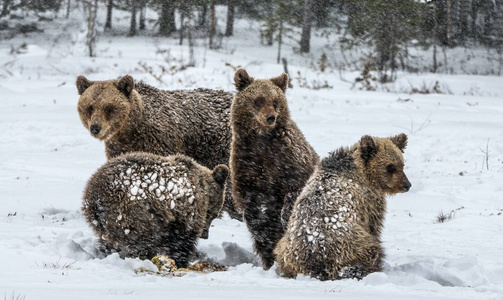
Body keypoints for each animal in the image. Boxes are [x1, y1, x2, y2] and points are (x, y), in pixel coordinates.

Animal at [75, 75, 240, 220]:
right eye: (89, 107)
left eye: (108, 107)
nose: (95, 128)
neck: (129, 131)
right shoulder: (119, 148)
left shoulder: (157, 142)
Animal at [83, 152, 230, 268]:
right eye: (213, 214)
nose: (205, 235)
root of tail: (97, 196)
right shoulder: (184, 216)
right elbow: (182, 243)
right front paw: (181, 261)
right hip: (135, 215)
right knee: (141, 243)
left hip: (101, 222)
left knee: (107, 241)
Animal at [229, 68, 318, 270]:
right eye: (259, 100)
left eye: (275, 101)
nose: (270, 117)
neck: (261, 139)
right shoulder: (246, 163)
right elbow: (249, 201)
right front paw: (258, 223)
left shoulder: (288, 159)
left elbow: (296, 186)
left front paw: (285, 214)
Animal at [276, 134, 414, 282]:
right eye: (390, 166)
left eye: (402, 164)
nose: (407, 185)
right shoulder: (369, 203)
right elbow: (375, 226)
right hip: (349, 243)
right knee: (370, 250)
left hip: (284, 248)